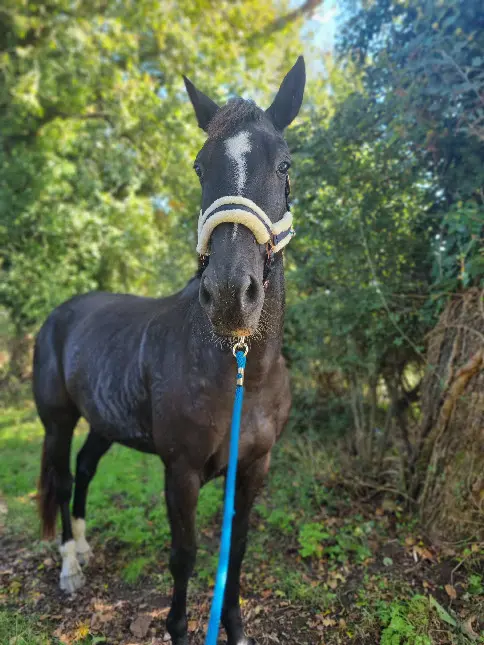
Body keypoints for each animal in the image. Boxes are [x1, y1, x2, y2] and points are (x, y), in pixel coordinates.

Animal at [34, 56, 306, 644]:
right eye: (200, 168)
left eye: (284, 166)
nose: (230, 293)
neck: (242, 373)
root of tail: (62, 313)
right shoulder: (179, 471)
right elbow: (184, 555)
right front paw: (180, 629)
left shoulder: (254, 468)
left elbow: (237, 551)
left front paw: (235, 628)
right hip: (58, 421)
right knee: (63, 479)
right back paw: (69, 566)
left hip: (103, 420)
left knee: (85, 469)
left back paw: (84, 548)